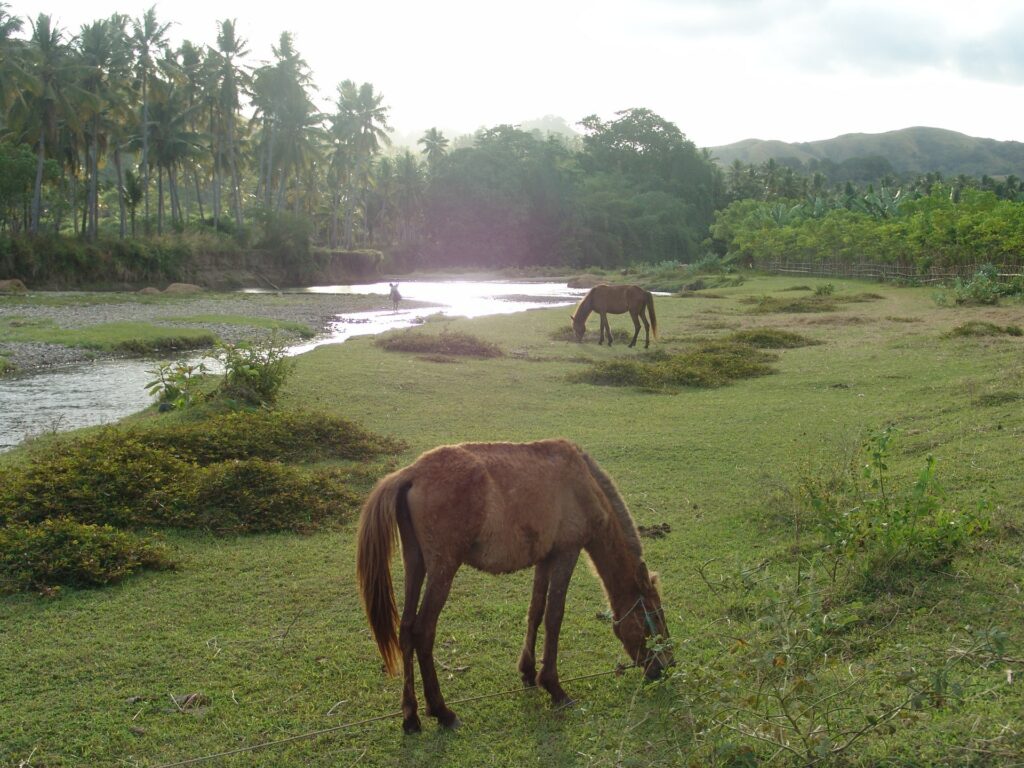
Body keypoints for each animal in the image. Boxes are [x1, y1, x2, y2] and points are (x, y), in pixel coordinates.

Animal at [358, 438, 671, 733]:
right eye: (654, 616)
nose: (668, 665)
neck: (583, 484)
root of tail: (412, 472)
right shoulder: (566, 553)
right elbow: (554, 617)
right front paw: (554, 686)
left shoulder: (545, 559)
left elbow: (535, 612)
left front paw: (528, 671)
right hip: (441, 570)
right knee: (423, 631)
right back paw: (442, 711)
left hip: (416, 563)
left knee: (406, 629)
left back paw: (411, 716)